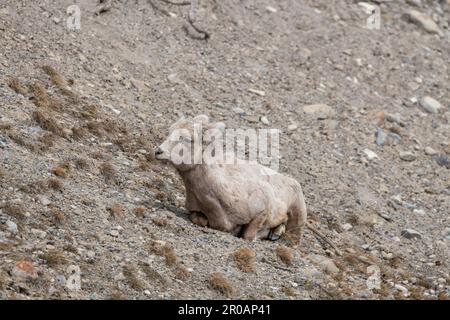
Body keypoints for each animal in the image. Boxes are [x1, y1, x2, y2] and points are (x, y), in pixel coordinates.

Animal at [153, 115, 308, 240]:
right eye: (169, 132)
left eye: (187, 139)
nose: (158, 151)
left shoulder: (261, 212)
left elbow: (248, 235)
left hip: (298, 215)